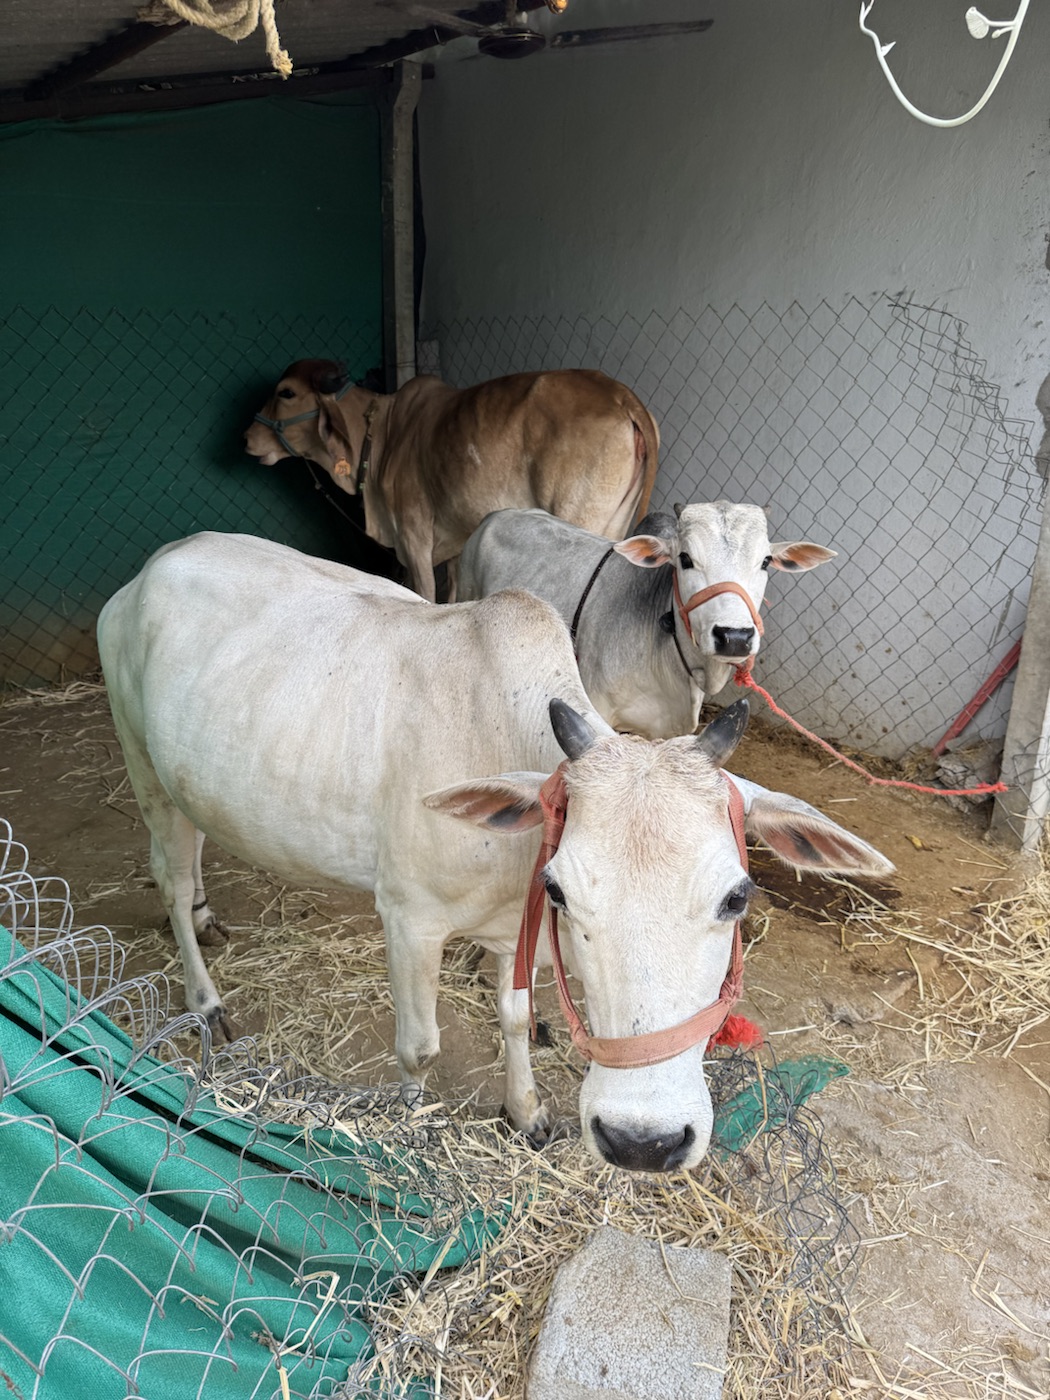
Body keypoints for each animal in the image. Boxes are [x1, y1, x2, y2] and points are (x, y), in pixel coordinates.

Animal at [97, 532, 891, 1172]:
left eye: (737, 897)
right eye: (565, 891)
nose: (644, 1142)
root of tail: (149, 570)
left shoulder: (514, 928)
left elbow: (514, 1017)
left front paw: (527, 1111)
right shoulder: (410, 917)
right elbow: (419, 1046)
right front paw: (407, 1114)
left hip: (191, 778)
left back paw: (208, 917)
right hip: (141, 763)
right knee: (169, 879)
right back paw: (206, 1000)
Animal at [243, 360, 660, 603]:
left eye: (286, 392)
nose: (246, 437)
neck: (383, 435)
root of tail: (622, 397)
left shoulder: (414, 539)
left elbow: (425, 596)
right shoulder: (457, 544)